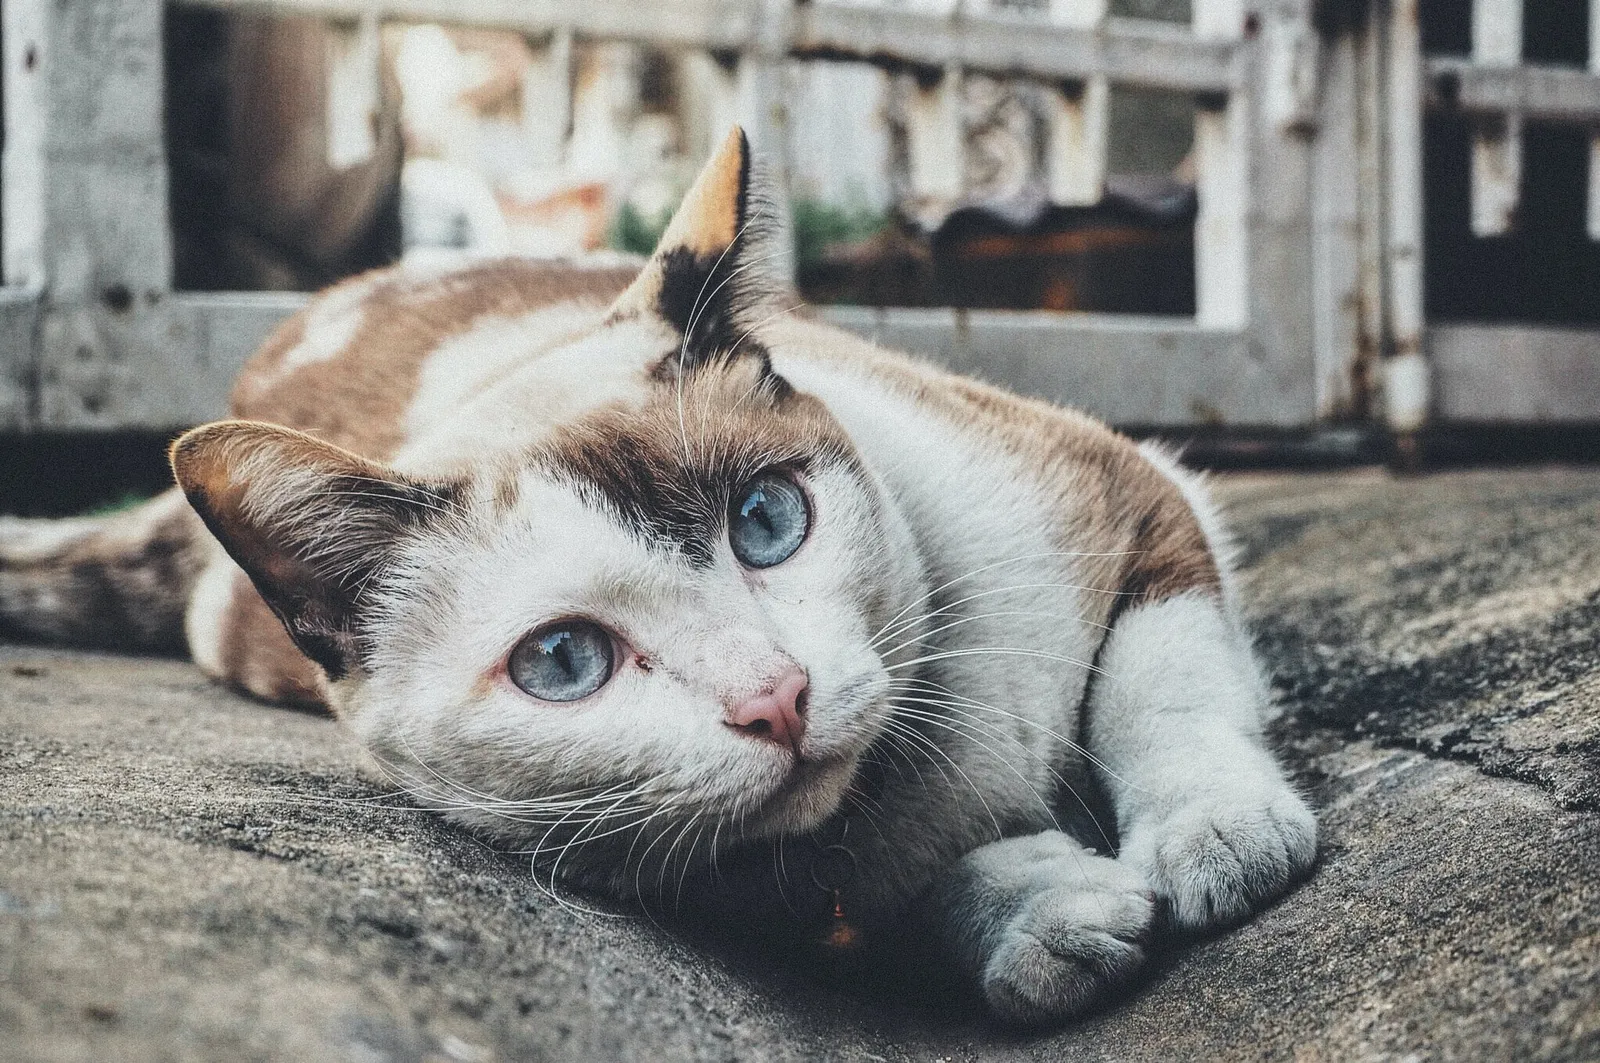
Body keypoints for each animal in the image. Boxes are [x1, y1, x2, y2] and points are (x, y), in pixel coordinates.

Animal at [0, 128, 1312, 1024]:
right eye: (562, 660)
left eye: (767, 520)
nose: (775, 699)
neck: (912, 779)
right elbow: (902, 905)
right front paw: (1038, 915)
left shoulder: (1123, 486)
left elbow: (1159, 682)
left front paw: (1215, 833)